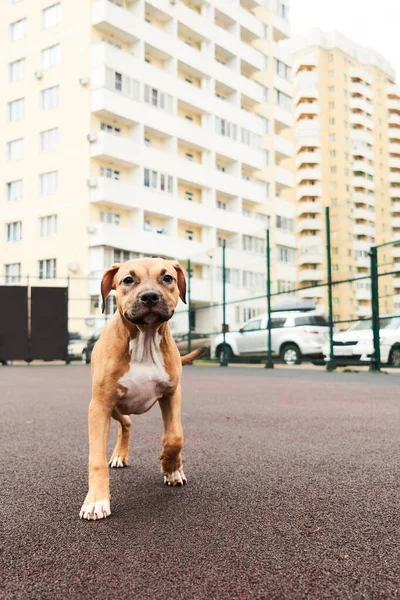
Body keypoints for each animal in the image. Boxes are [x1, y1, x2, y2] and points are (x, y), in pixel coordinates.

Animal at [79, 258, 203, 520]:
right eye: (128, 279)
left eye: (167, 278)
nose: (149, 297)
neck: (145, 342)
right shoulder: (100, 406)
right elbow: (96, 459)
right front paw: (96, 501)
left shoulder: (171, 394)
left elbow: (175, 436)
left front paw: (170, 467)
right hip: (113, 406)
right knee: (126, 422)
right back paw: (119, 455)